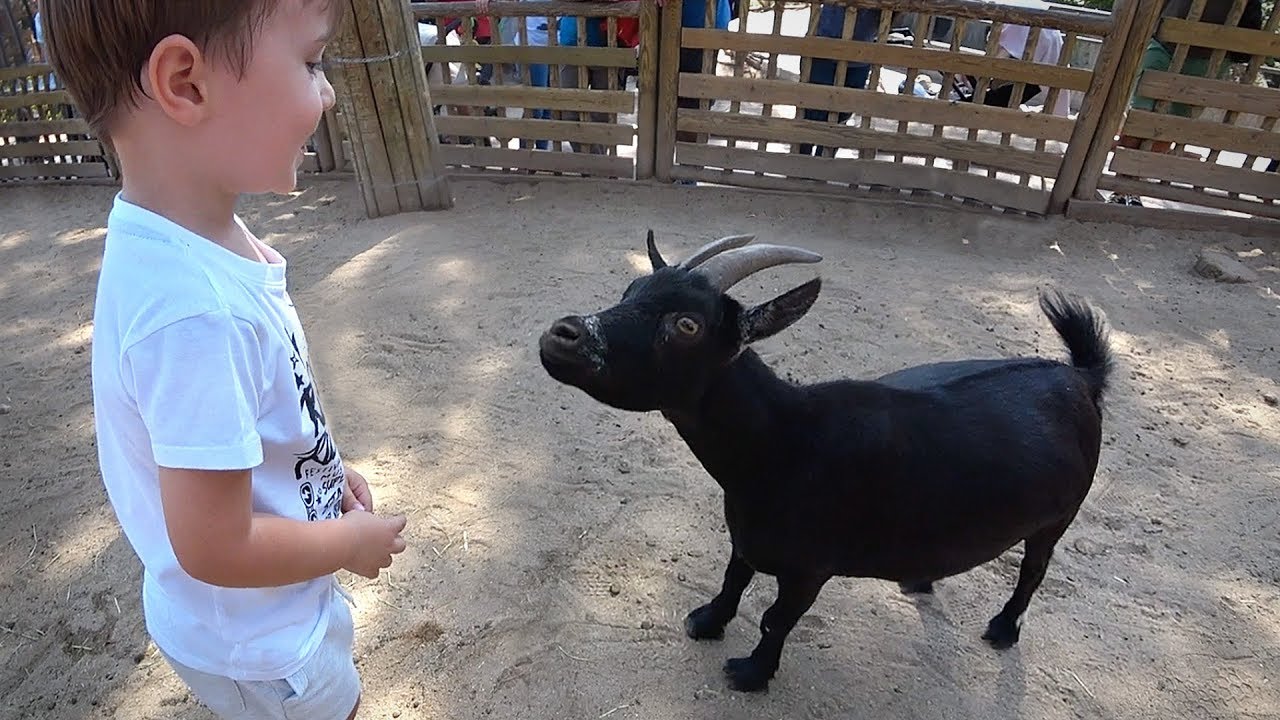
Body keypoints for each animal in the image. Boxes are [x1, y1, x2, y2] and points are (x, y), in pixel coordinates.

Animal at [537, 231, 1114, 692]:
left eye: (686, 325)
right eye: (631, 291)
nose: (560, 335)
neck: (784, 443)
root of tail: (1080, 376)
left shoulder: (810, 567)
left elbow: (777, 618)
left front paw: (750, 673)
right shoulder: (747, 535)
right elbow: (733, 577)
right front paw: (706, 622)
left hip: (1059, 517)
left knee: (1034, 570)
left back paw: (1002, 629)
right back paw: (918, 581)